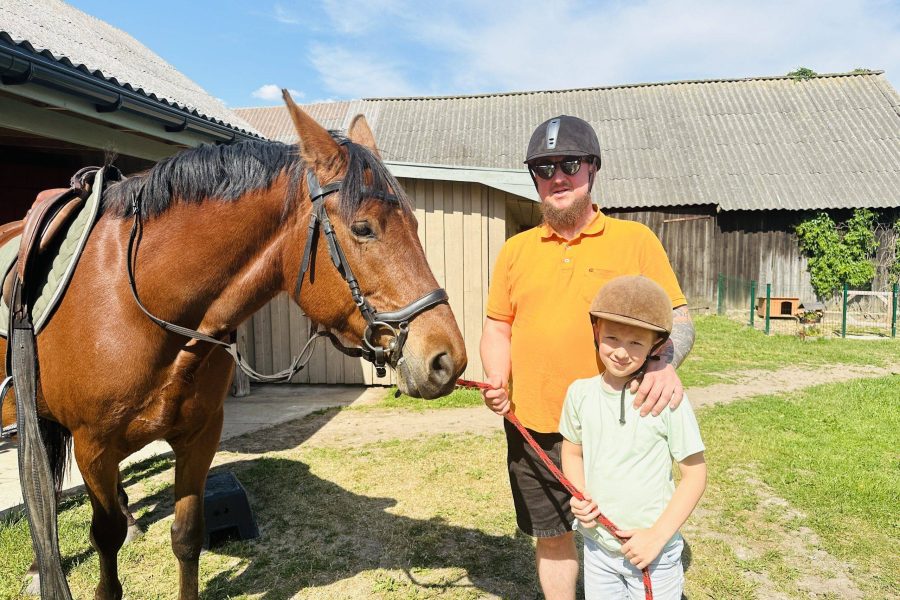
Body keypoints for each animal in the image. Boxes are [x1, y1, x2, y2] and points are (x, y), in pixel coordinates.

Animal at [0, 90, 464, 600]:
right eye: (364, 228)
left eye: (416, 224)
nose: (447, 359)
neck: (136, 304)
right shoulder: (94, 448)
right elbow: (104, 539)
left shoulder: (199, 436)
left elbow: (186, 537)